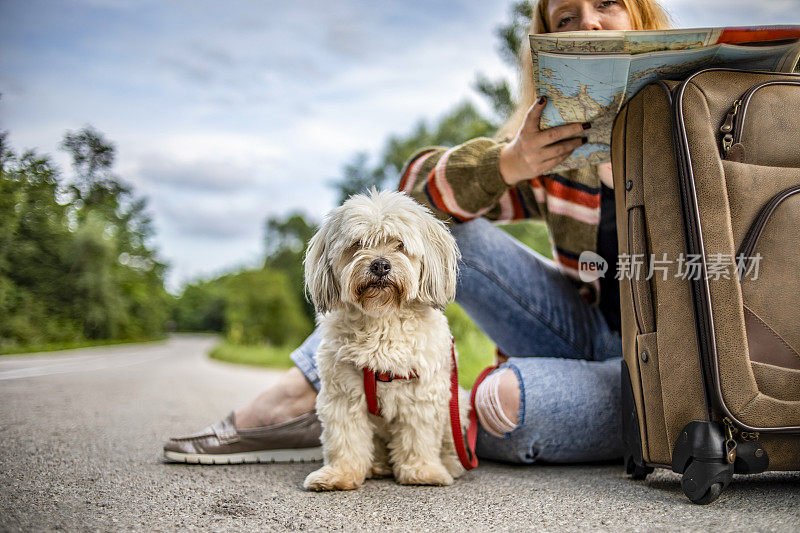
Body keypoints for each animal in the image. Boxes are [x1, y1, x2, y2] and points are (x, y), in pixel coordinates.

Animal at [304, 188, 468, 490]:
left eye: (400, 245)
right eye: (358, 244)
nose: (380, 265)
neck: (381, 319)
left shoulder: (422, 394)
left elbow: (418, 438)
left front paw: (421, 472)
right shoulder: (342, 396)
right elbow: (345, 440)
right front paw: (339, 474)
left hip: (457, 409)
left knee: (451, 447)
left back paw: (448, 466)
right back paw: (377, 466)